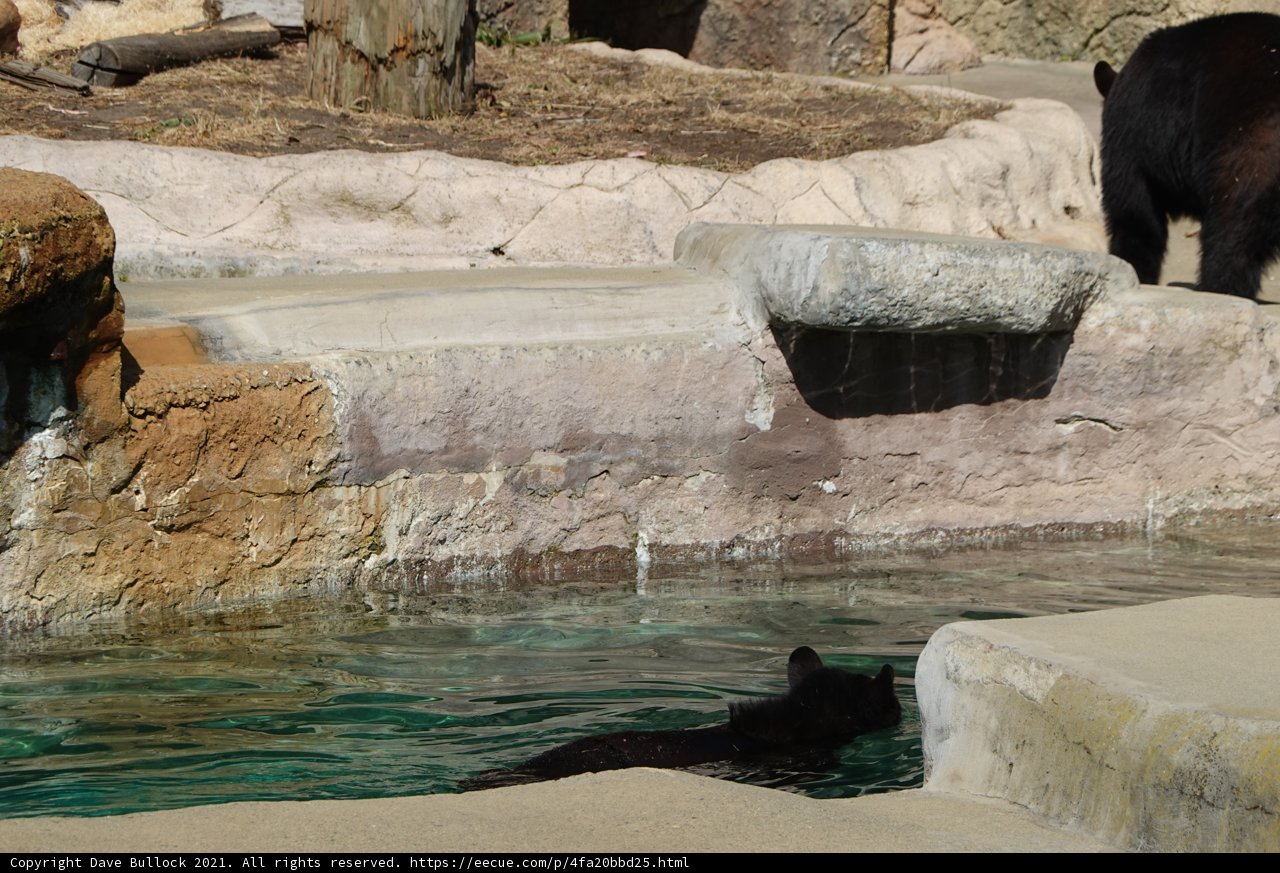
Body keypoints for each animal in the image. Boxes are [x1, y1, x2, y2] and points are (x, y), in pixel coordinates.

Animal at [1093, 13, 1280, 299]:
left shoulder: (1129, 139)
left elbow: (1134, 211)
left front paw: (1136, 270)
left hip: (1248, 141)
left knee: (1234, 223)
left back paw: (1218, 287)